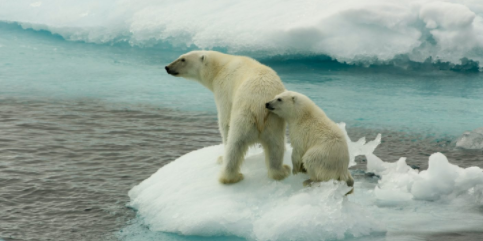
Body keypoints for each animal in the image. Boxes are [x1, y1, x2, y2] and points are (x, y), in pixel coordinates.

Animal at [165, 50, 292, 184]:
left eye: (183, 59)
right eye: (180, 57)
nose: (167, 67)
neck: (221, 66)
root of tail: (260, 108)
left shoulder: (224, 89)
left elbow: (225, 120)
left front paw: (221, 157)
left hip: (244, 117)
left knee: (235, 144)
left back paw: (230, 175)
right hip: (274, 121)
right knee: (275, 146)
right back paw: (281, 171)